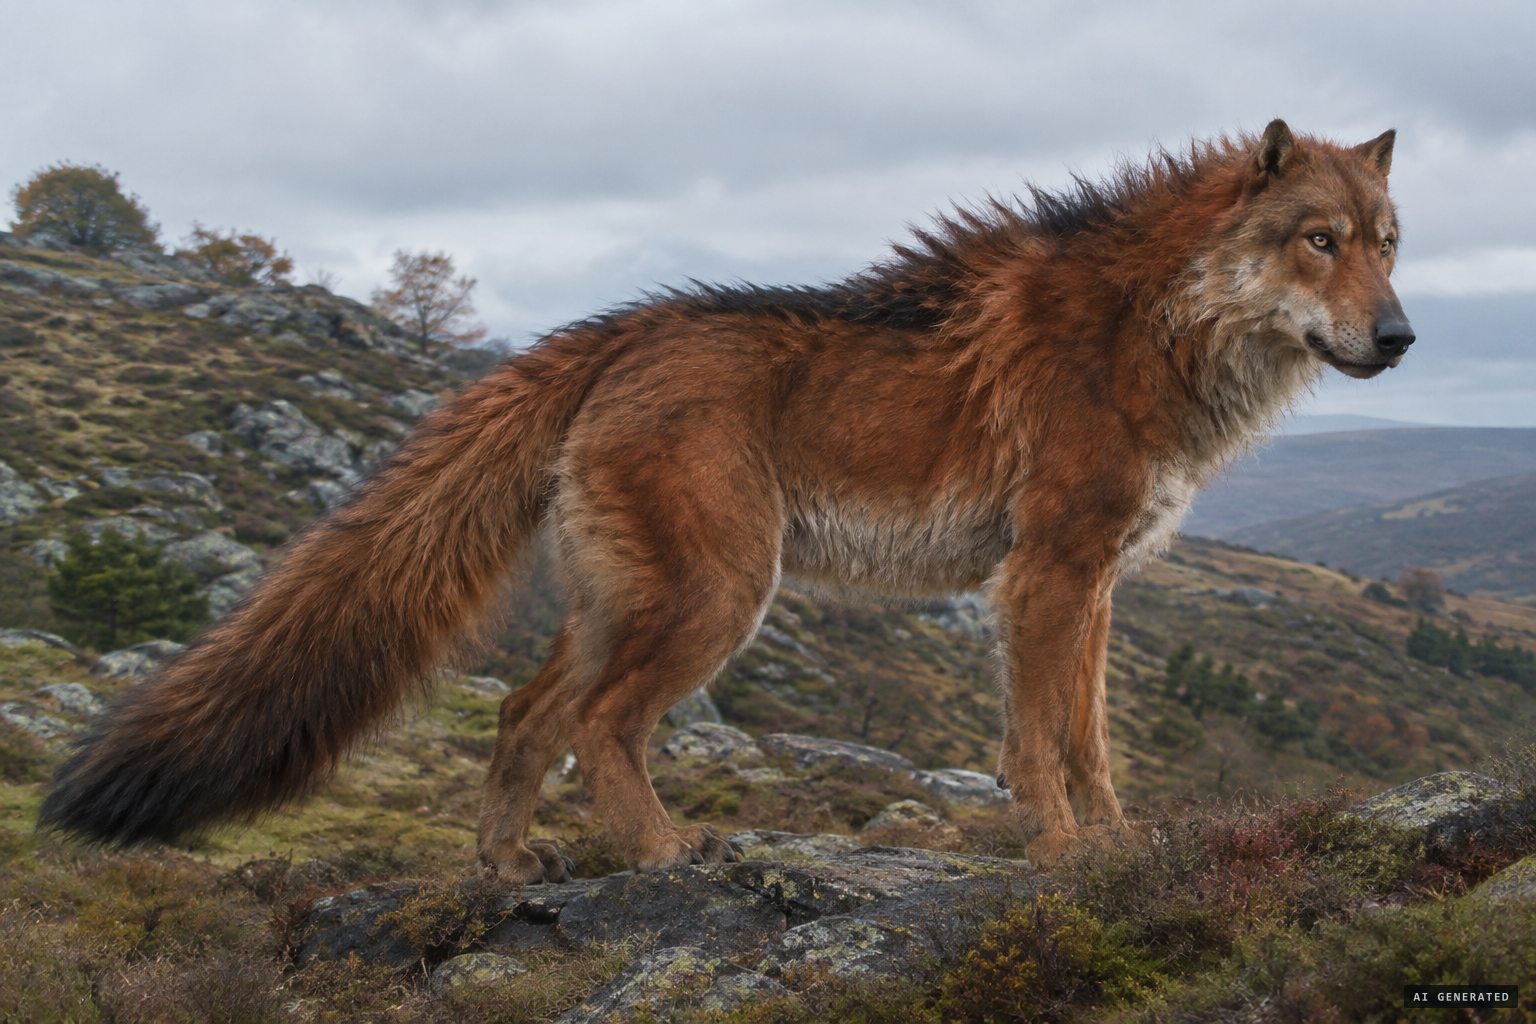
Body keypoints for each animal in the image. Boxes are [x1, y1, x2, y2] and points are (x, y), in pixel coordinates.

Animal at [40, 120, 1413, 876]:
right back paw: (658, 853)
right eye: (1320, 241)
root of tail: (617, 327)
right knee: (602, 725)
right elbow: (1038, 748)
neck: (1159, 326)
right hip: (718, 601)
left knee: (527, 716)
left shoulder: (1095, 589)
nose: (1401, 337)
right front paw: (1065, 860)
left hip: (626, 603)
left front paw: (1121, 851)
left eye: (1390, 241)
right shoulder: (1043, 581)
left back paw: (506, 866)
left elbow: (1093, 743)